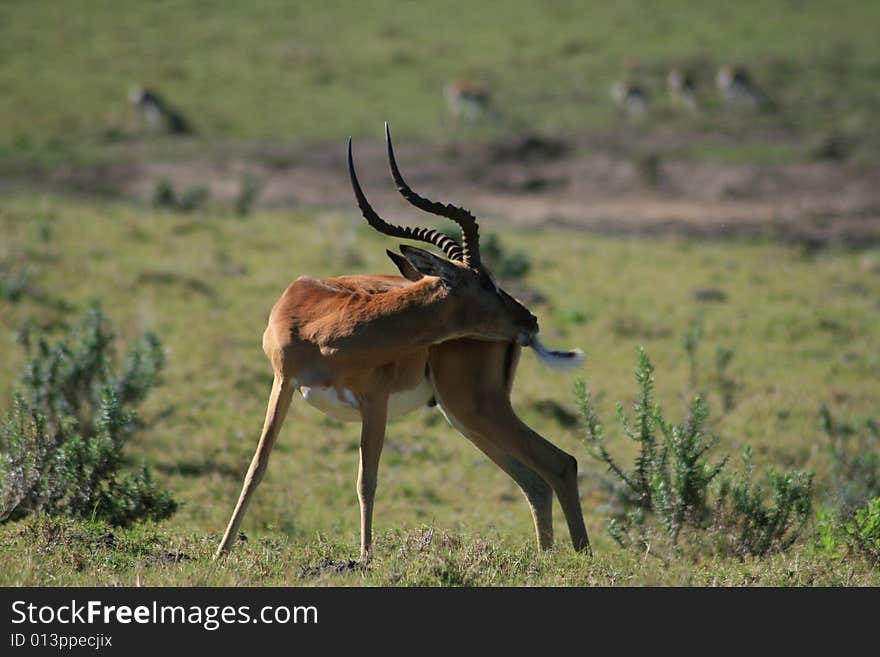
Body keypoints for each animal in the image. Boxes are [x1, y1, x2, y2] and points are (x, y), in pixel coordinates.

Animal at [215, 123, 592, 560]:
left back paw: (581, 558)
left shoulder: (374, 401)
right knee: (536, 479)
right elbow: (257, 466)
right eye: (485, 282)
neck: (323, 326)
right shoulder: (284, 383)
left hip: (475, 406)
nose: (528, 319)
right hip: (463, 413)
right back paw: (548, 557)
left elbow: (367, 480)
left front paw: (365, 559)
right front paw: (221, 552)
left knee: (560, 463)